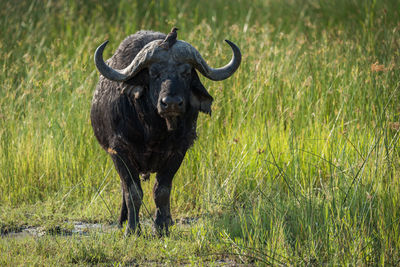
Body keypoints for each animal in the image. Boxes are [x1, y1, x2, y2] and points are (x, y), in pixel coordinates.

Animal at [91, 28, 241, 236]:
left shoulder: (178, 151)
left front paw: (162, 227)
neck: (153, 130)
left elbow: (161, 191)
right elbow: (133, 192)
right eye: (154, 72)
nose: (171, 103)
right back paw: (122, 221)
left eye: (186, 72)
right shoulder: (119, 151)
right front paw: (132, 229)